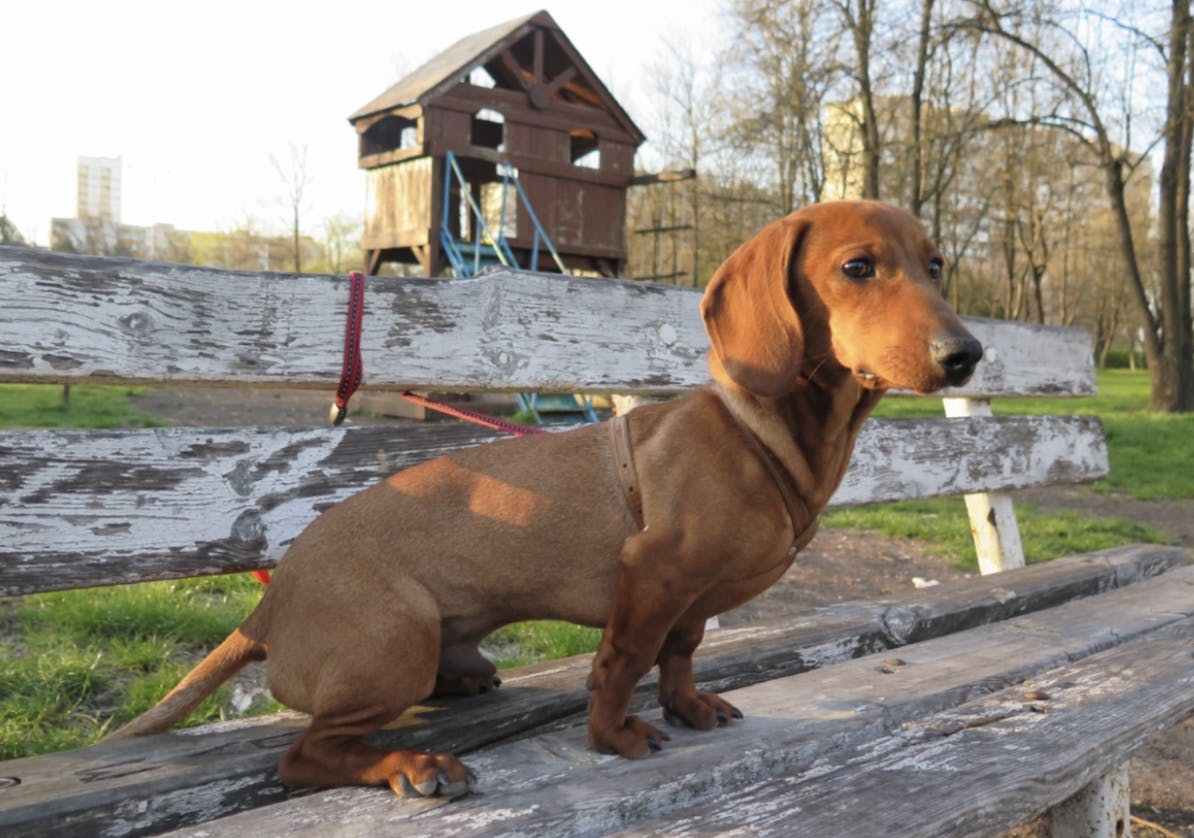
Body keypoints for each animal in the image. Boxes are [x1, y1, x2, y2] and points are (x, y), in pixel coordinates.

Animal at [107, 201, 979, 802]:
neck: (760, 434)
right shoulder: (653, 573)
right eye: (858, 267)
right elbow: (622, 661)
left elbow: (679, 653)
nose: (966, 354)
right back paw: (414, 765)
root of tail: (266, 608)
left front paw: (688, 707)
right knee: (305, 756)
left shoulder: (690, 599)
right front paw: (614, 736)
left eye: (936, 265)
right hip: (398, 641)